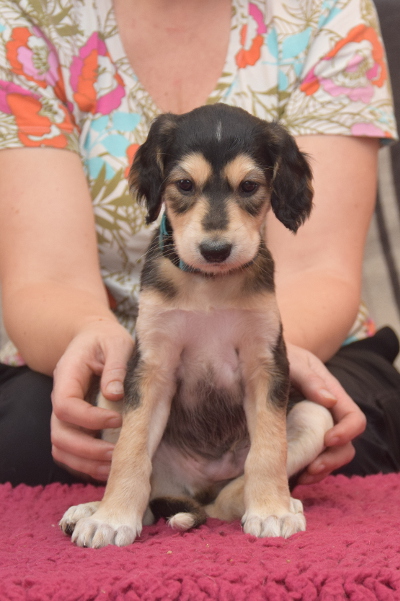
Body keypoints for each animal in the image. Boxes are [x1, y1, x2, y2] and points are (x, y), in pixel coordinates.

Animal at [60, 104, 333, 548]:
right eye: (185, 185)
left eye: (250, 186)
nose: (216, 250)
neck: (209, 285)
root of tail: (198, 487)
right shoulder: (151, 367)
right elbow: (129, 452)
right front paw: (112, 518)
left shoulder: (266, 364)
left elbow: (268, 450)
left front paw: (271, 510)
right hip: (109, 398)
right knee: (154, 492)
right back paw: (92, 509)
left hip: (314, 415)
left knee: (226, 500)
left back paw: (281, 503)